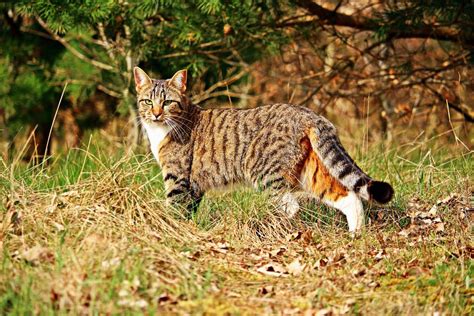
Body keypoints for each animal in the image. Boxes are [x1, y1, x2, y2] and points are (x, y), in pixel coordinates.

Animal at [132, 66, 392, 232]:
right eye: (147, 101)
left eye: (167, 102)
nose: (156, 113)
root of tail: (310, 115)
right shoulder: (193, 185)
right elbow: (188, 211)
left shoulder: (177, 177)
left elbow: (174, 210)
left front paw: (169, 231)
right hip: (310, 172)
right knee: (348, 196)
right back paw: (356, 235)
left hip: (265, 172)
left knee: (291, 207)